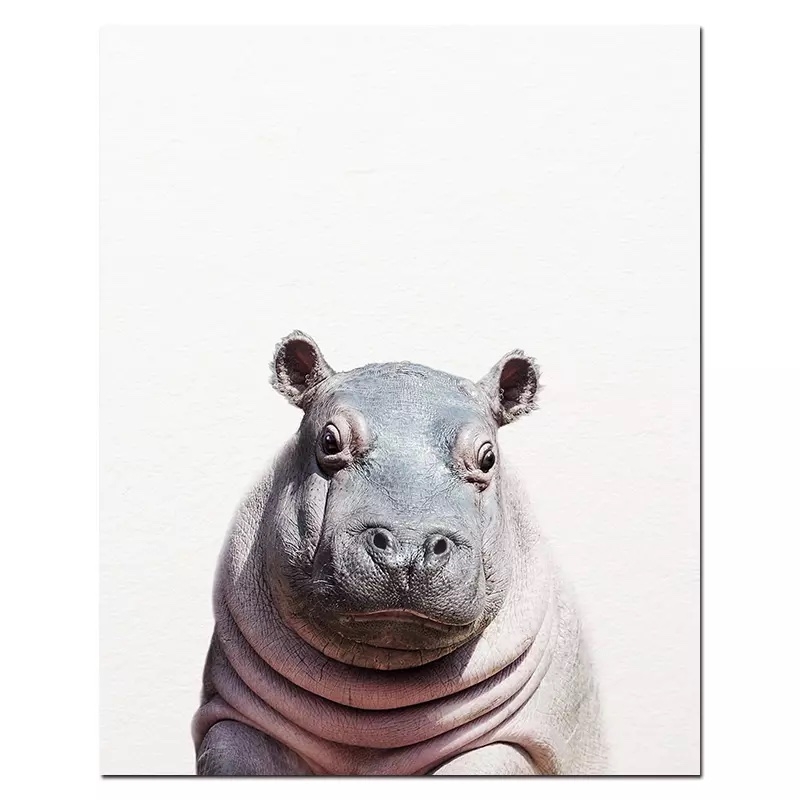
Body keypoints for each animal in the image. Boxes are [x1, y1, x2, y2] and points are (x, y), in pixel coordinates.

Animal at [192, 331, 607, 775]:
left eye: (488, 457)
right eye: (329, 440)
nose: (408, 546)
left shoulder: (517, 743)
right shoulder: (229, 719)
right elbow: (233, 753)